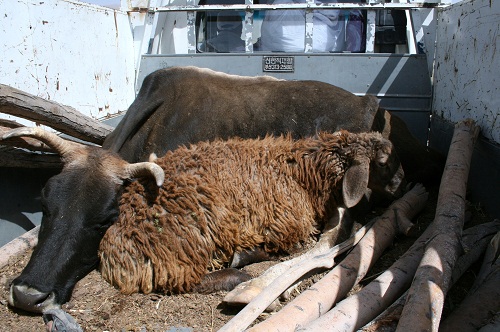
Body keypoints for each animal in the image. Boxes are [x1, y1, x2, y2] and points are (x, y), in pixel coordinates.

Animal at [98, 131, 406, 294]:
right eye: (383, 162)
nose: (403, 183)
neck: (303, 171)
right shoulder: (285, 224)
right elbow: (289, 247)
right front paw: (245, 256)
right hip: (188, 239)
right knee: (185, 281)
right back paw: (238, 274)